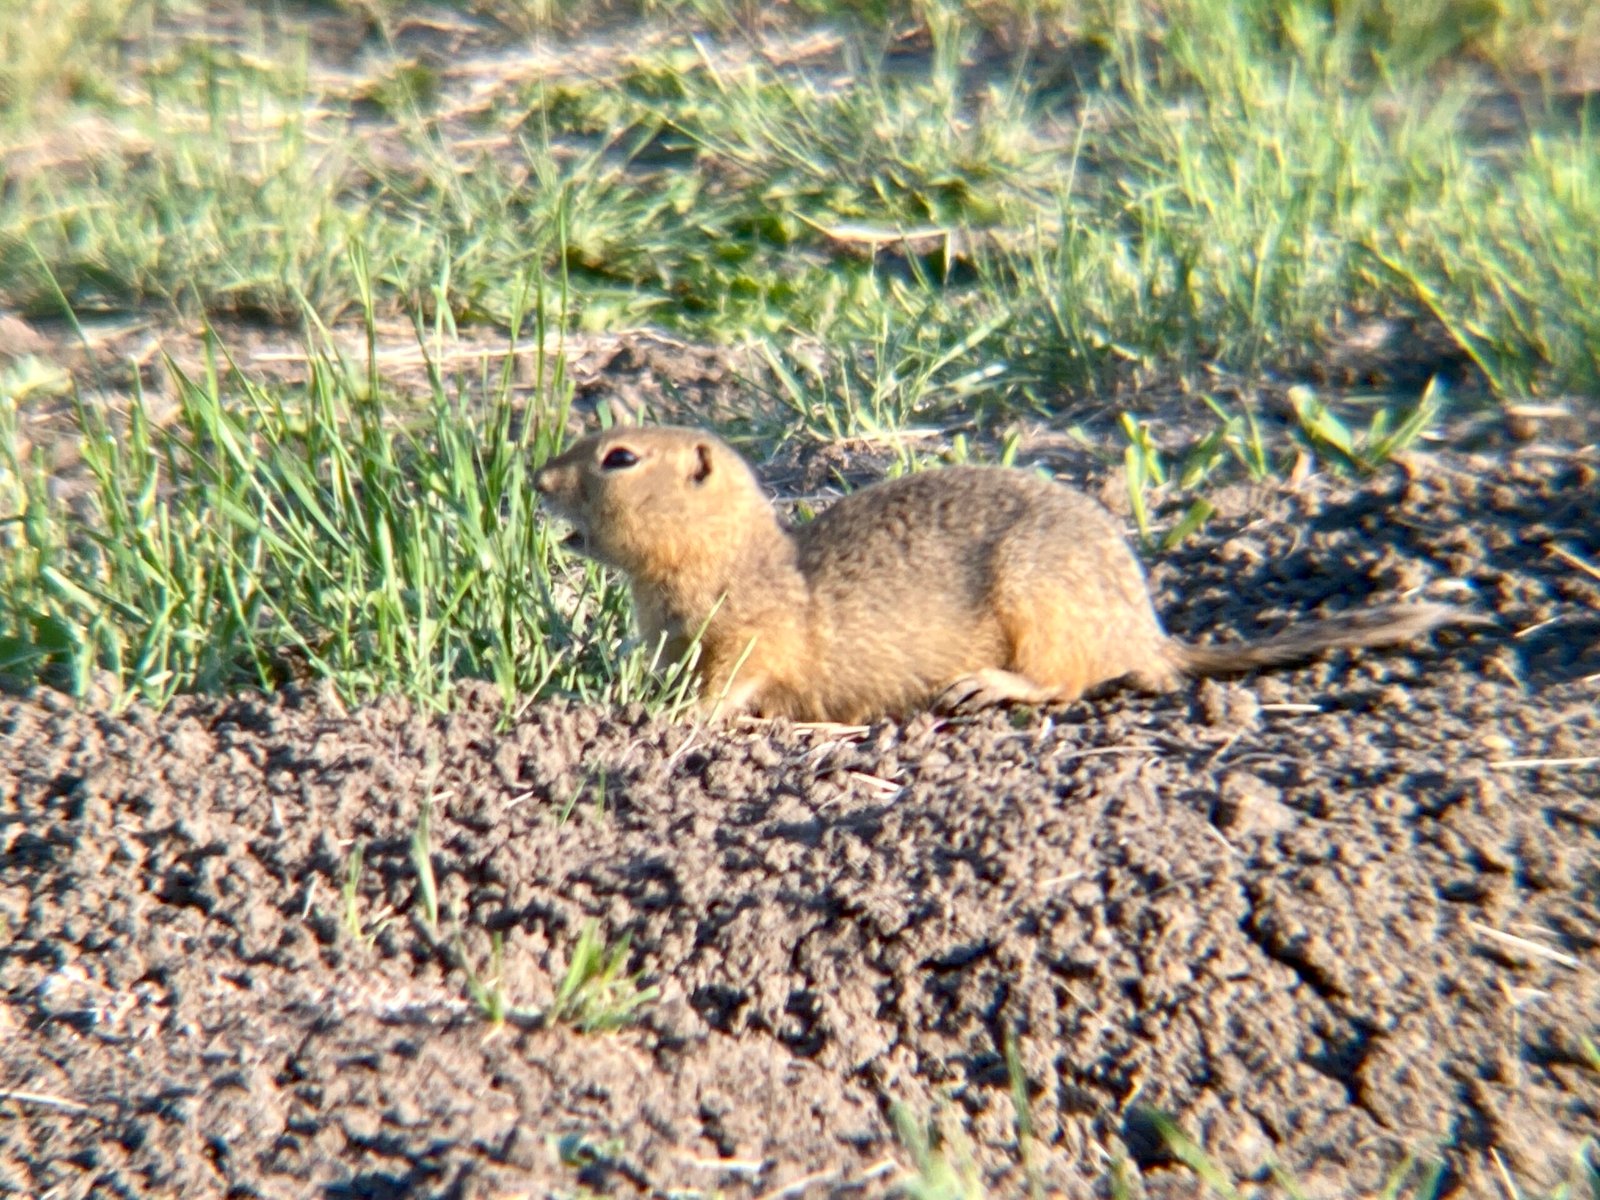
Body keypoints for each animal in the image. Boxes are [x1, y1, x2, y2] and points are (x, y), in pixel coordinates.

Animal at [537, 422, 1465, 723]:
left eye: (619, 458)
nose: (537, 477)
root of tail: (1153, 635)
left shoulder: (750, 635)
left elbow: (733, 681)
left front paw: (677, 716)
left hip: (1041, 604)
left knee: (1065, 681)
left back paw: (987, 686)